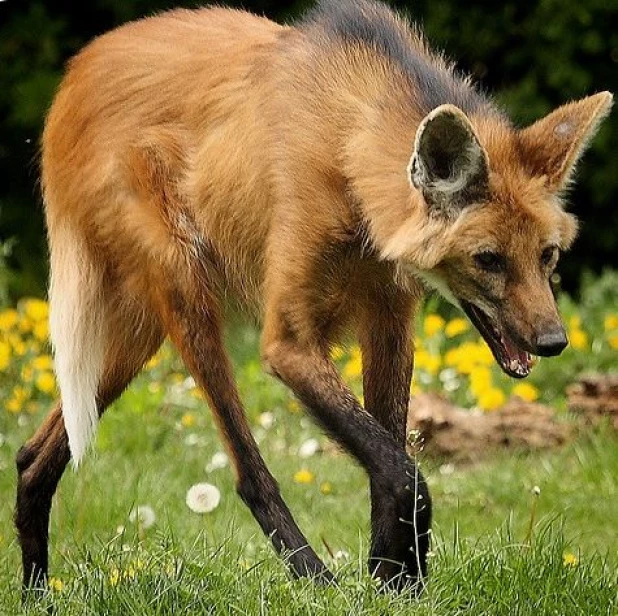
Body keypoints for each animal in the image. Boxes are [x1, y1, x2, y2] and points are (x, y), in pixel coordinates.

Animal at [16, 0, 608, 596]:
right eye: (488, 260)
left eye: (547, 256)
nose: (554, 341)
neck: (348, 151)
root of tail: (72, 82)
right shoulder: (290, 343)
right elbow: (401, 470)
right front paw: (393, 580)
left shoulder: (389, 318)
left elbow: (388, 457)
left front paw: (395, 583)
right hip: (185, 287)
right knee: (248, 473)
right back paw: (315, 579)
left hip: (140, 331)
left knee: (31, 454)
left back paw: (36, 588)